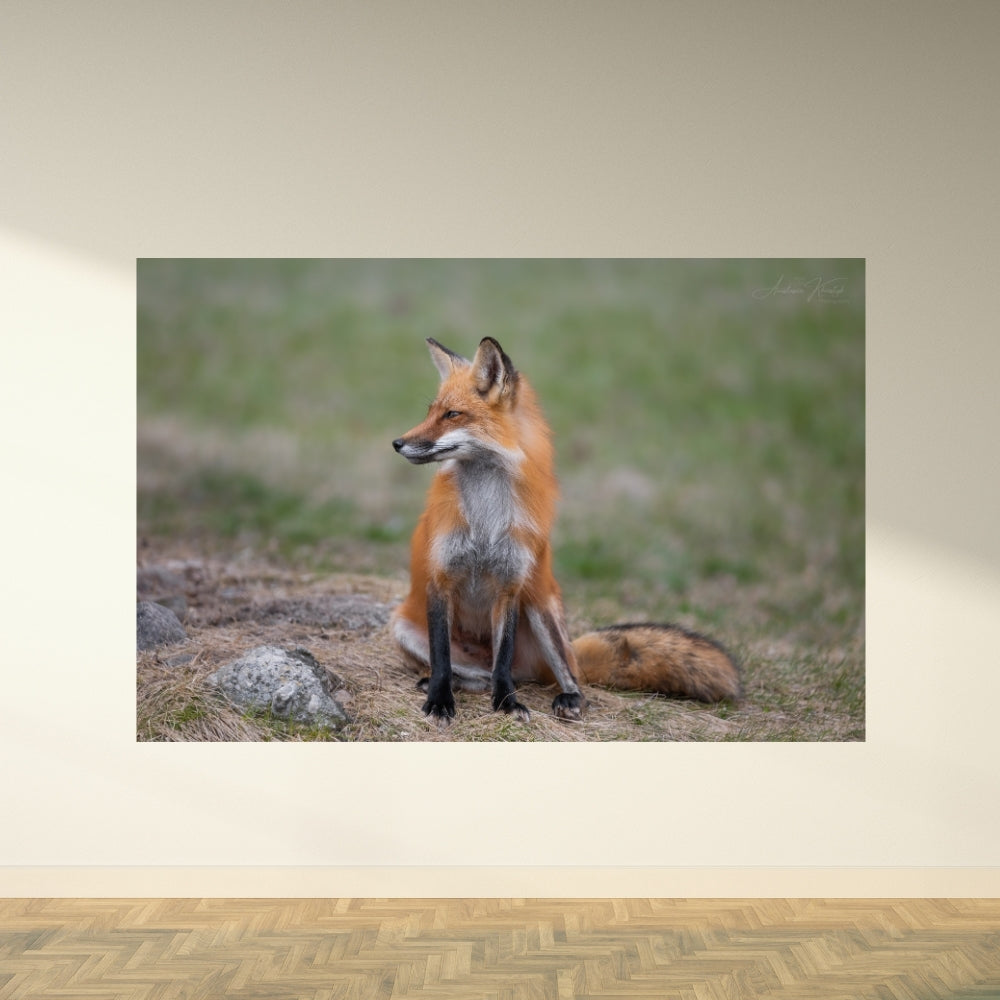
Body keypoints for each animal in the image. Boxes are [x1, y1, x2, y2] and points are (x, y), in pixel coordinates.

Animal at [390, 336, 741, 725]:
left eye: (452, 415)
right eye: (430, 412)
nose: (397, 443)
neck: (485, 521)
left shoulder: (511, 587)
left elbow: (502, 662)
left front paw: (507, 703)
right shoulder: (440, 580)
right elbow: (441, 658)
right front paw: (440, 699)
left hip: (540, 609)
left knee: (558, 676)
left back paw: (567, 696)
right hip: (404, 628)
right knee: (473, 673)